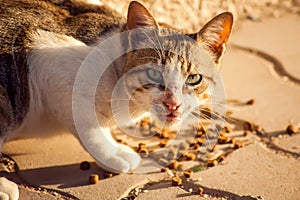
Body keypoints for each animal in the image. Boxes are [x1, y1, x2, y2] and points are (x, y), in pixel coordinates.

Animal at [0, 0, 233, 198]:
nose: (172, 103)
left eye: (194, 78)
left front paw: (116, 146)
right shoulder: (47, 57)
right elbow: (88, 125)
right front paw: (110, 153)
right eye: (154, 74)